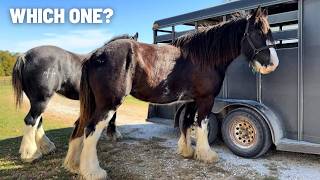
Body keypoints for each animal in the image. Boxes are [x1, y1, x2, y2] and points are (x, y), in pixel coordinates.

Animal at [10, 33, 139, 162]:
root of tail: (25, 56)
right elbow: (113, 117)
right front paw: (114, 135)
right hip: (41, 99)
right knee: (31, 120)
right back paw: (30, 154)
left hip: (38, 100)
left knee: (38, 120)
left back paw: (47, 147)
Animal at [65, 7, 280, 179]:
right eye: (258, 32)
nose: (273, 64)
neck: (203, 59)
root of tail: (96, 54)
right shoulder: (206, 99)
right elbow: (201, 124)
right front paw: (207, 155)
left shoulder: (191, 100)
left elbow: (187, 123)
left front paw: (187, 151)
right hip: (109, 103)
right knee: (91, 129)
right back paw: (93, 172)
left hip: (94, 103)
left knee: (79, 125)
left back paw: (74, 165)